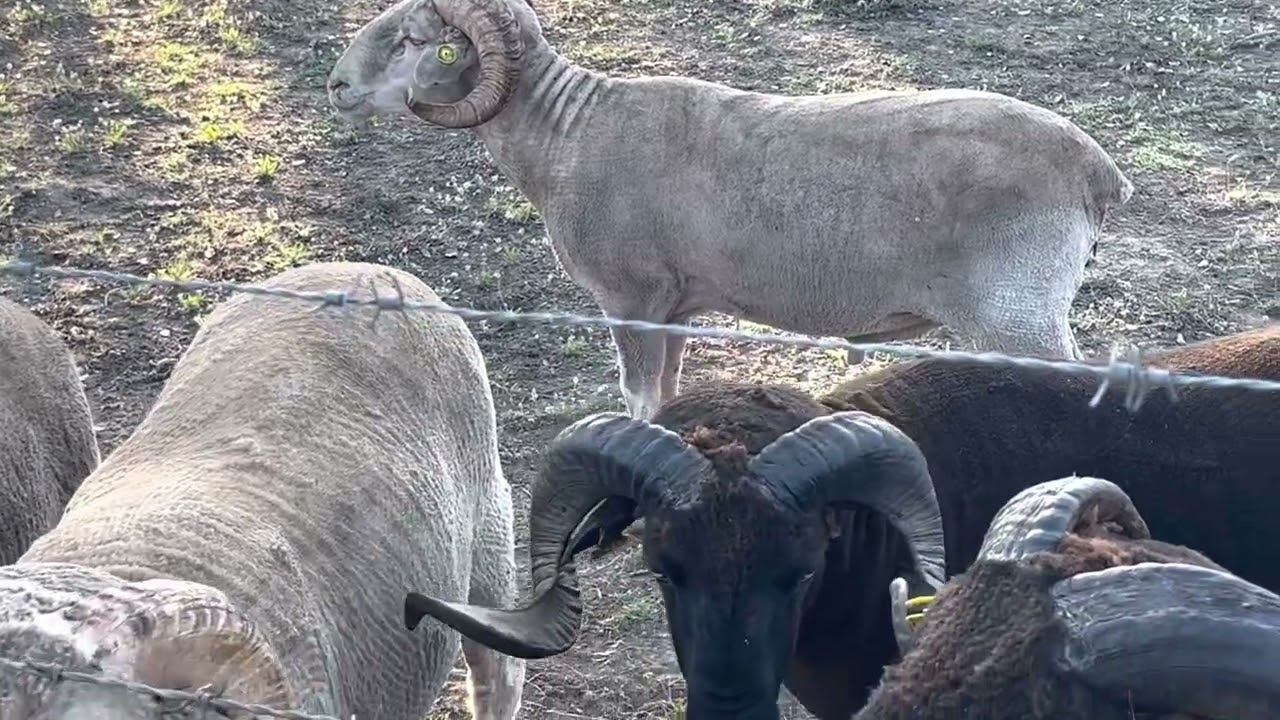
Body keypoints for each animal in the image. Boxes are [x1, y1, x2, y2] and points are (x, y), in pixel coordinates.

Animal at [324, 0, 1134, 420]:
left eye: (413, 40)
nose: (335, 86)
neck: (565, 130)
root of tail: (1098, 173)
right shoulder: (677, 305)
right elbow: (669, 390)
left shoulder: (631, 296)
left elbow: (639, 395)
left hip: (1017, 314)